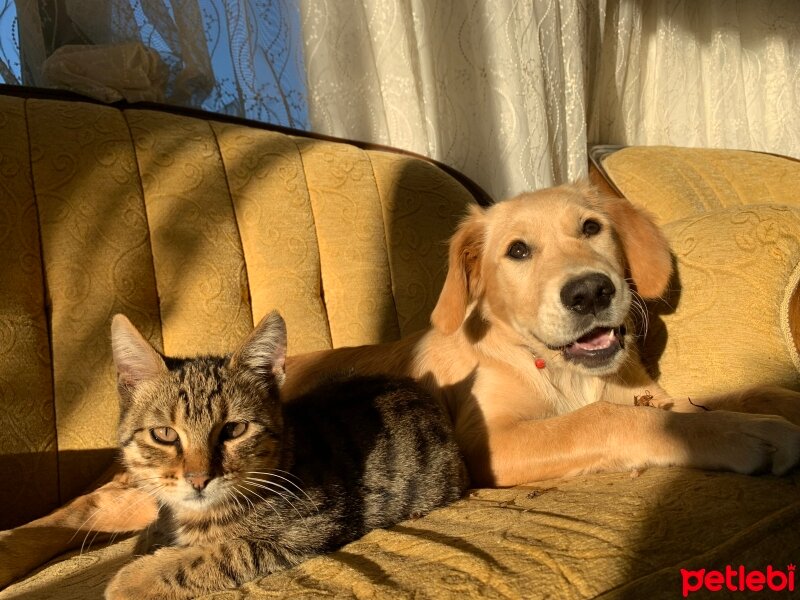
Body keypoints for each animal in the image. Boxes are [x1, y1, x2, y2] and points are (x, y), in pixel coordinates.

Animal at [106, 312, 468, 600]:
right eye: (165, 435)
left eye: (234, 429)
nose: (198, 479)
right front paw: (148, 541)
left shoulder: (308, 527)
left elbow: (221, 553)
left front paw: (135, 578)